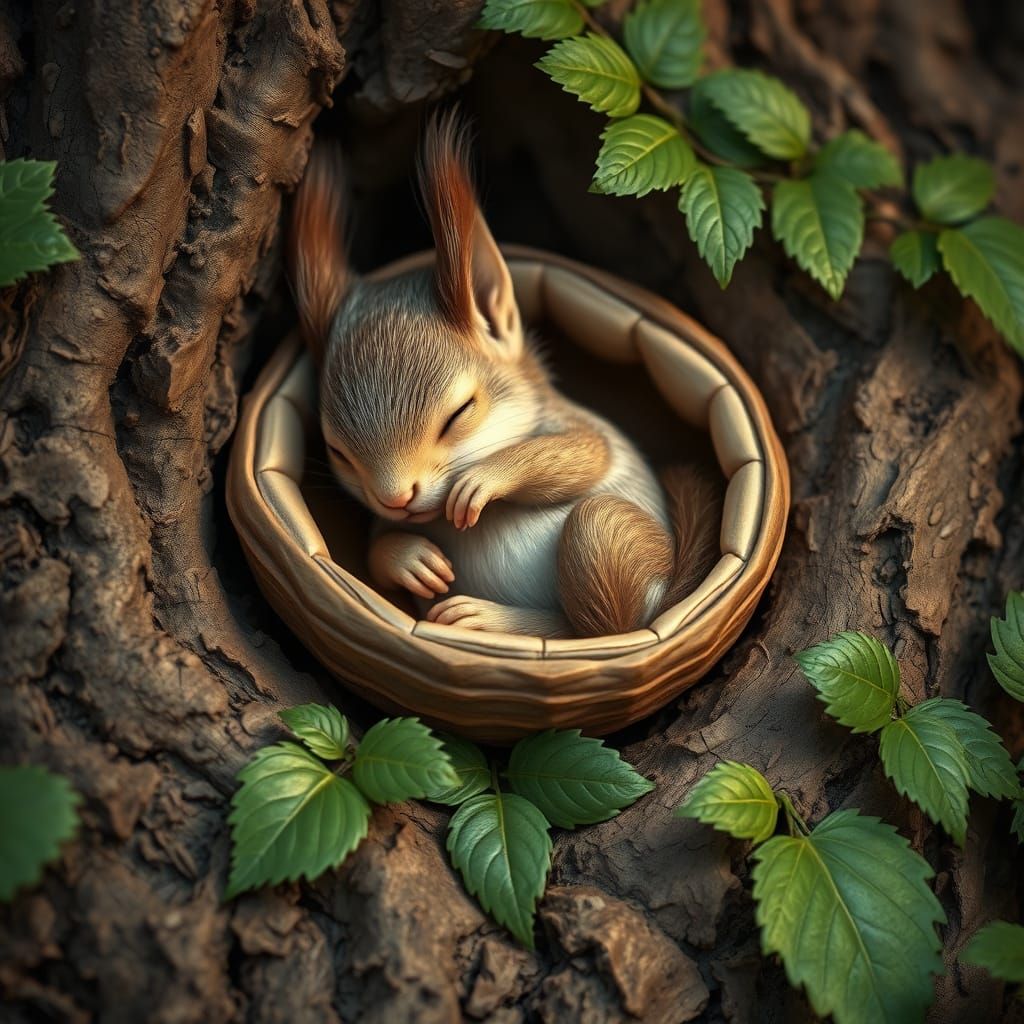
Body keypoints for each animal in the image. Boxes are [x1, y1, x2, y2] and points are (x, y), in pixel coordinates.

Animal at [286, 112, 720, 639]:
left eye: (460, 414)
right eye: (338, 452)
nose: (396, 498)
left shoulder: (580, 430)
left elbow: (580, 453)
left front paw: (484, 478)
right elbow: (377, 549)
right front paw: (409, 558)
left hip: (601, 533)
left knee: (596, 629)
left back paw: (489, 619)